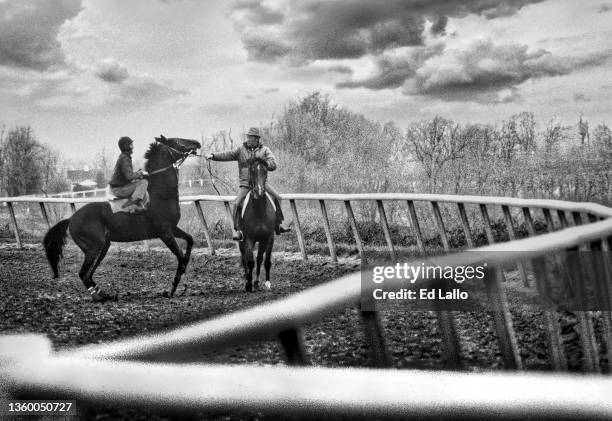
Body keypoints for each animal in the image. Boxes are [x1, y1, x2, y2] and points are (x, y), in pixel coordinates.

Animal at [43, 136, 201, 300]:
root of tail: (71, 219)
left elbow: (190, 241)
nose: (196, 143)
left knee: (89, 274)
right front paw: (171, 289)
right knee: (83, 274)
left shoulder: (173, 228)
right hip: (93, 249)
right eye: (176, 141)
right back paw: (98, 297)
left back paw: (104, 294)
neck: (160, 196)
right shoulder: (165, 233)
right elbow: (181, 258)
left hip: (103, 247)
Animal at [239, 159, 278, 290]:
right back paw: (248, 279)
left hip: (261, 241)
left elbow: (266, 260)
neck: (260, 212)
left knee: (259, 258)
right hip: (241, 241)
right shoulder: (249, 239)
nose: (259, 191)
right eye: (252, 170)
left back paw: (256, 281)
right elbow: (250, 262)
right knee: (244, 258)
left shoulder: (268, 238)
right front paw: (248, 284)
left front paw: (267, 282)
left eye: (265, 171)